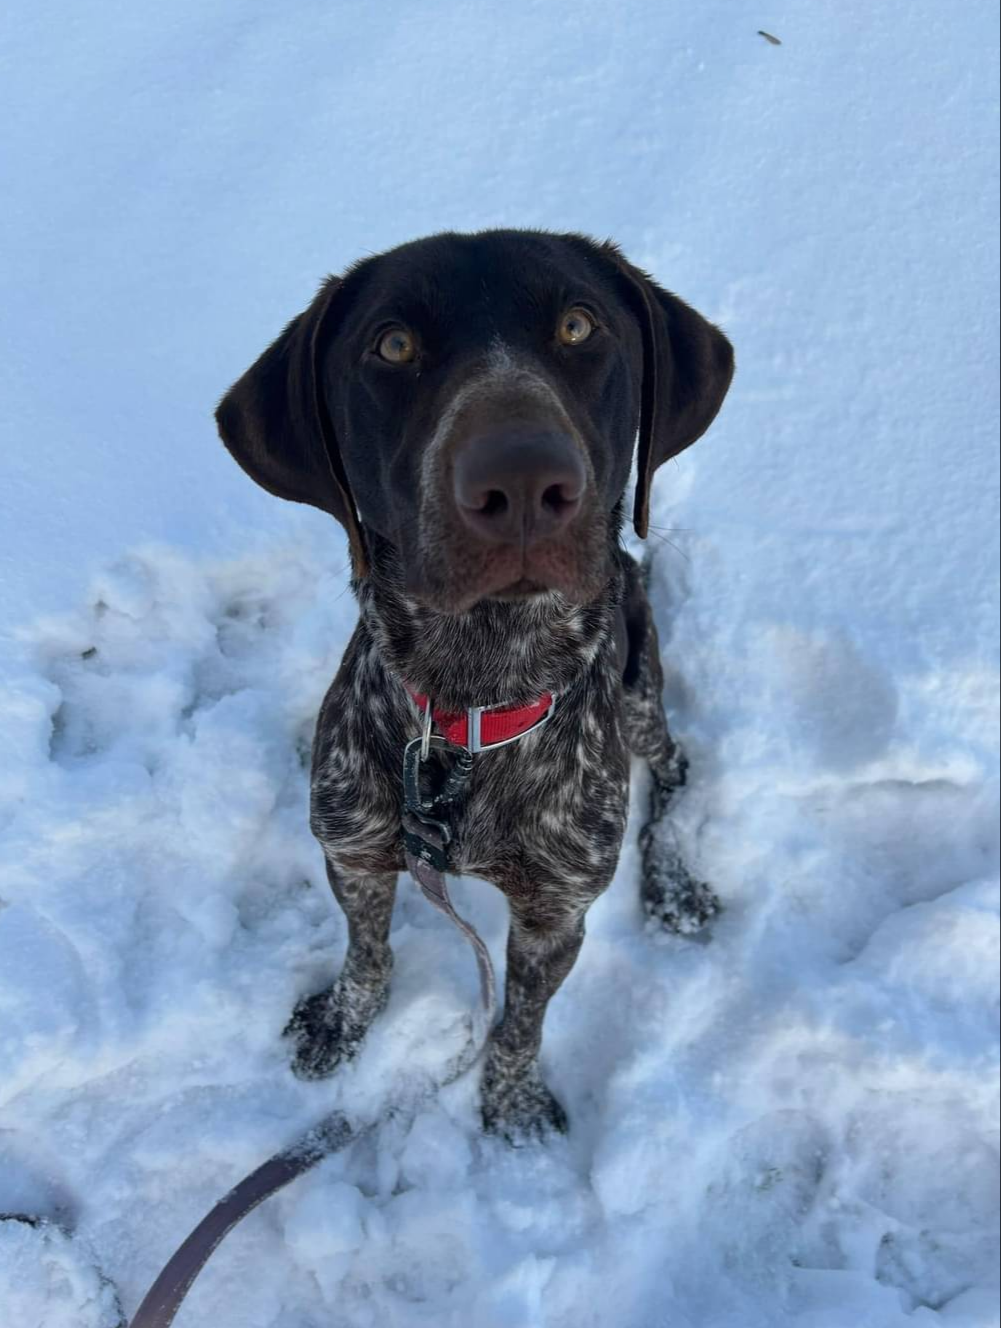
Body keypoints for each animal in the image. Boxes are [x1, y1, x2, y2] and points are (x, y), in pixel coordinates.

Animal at [216, 229, 734, 1141]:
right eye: (391, 345)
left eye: (577, 325)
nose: (523, 481)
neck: (474, 698)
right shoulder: (353, 852)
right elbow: (367, 952)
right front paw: (343, 1023)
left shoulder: (555, 913)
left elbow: (520, 1021)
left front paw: (511, 1104)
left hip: (641, 699)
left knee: (673, 772)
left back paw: (671, 886)